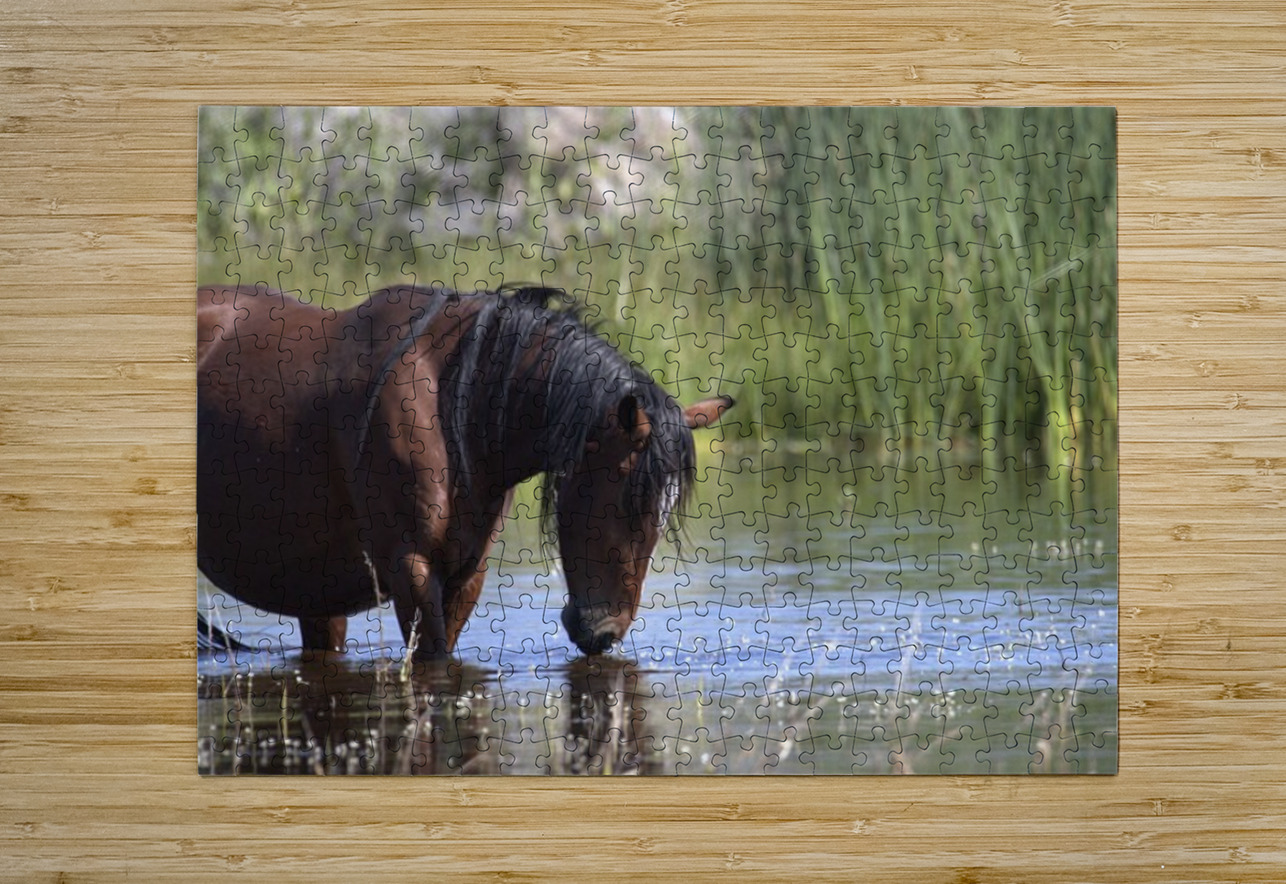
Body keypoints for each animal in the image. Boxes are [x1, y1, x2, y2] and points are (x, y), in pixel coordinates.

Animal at [197, 283, 732, 660]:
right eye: (623, 500)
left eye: (663, 515)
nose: (603, 633)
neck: (457, 404)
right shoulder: (410, 570)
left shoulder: (465, 575)